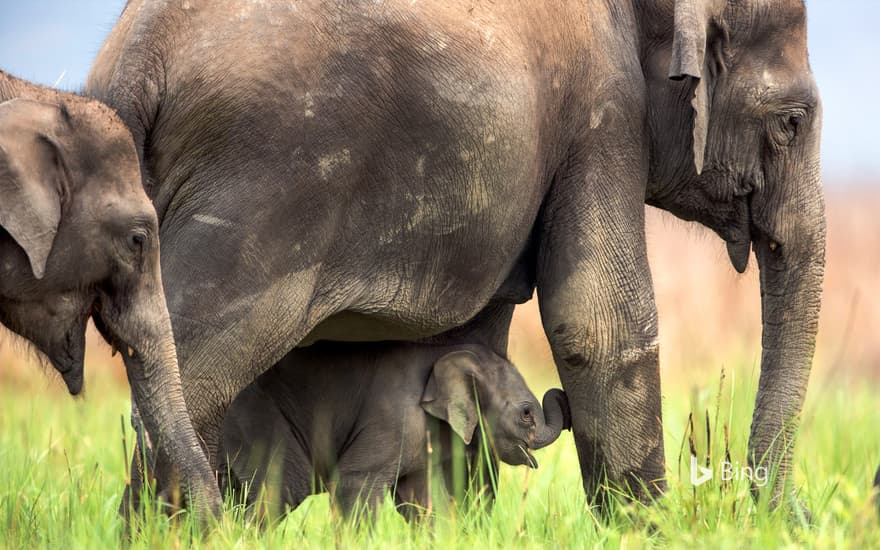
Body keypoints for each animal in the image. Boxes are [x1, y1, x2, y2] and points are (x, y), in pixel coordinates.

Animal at [220, 342, 572, 520]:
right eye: (526, 414)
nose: (562, 394)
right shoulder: (394, 420)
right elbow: (354, 484)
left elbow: (422, 498)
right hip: (255, 421)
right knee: (281, 490)